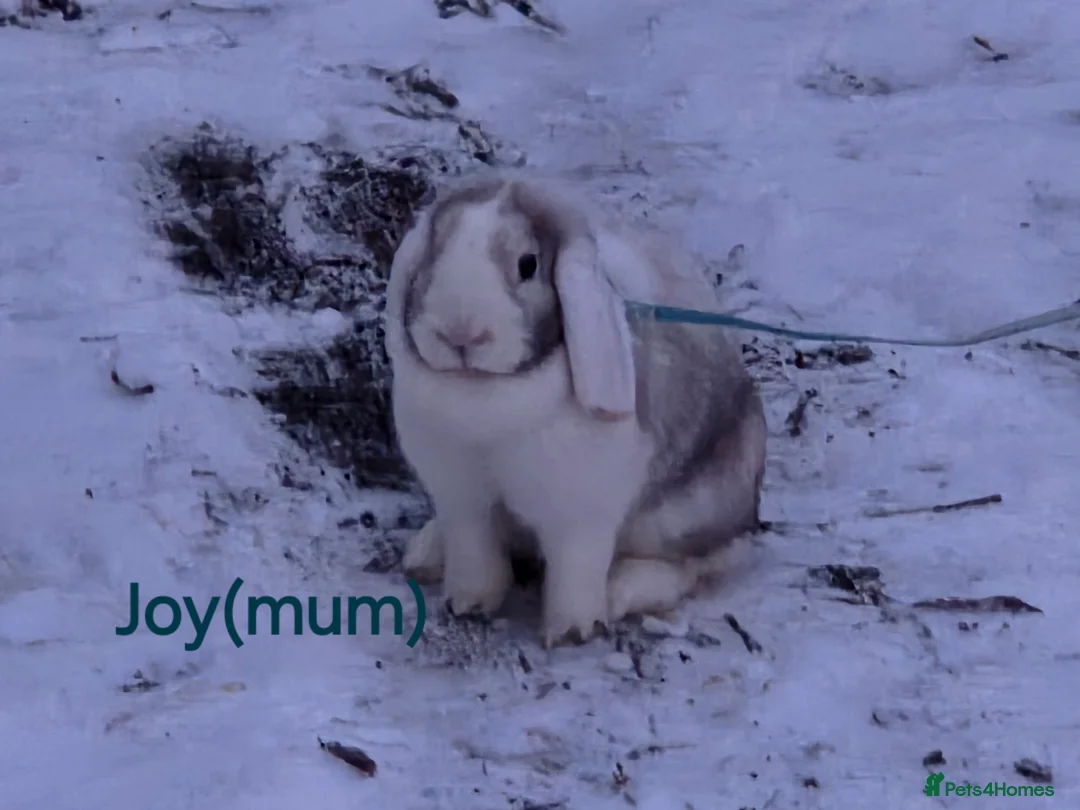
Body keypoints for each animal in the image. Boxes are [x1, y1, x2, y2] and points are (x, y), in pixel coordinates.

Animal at [384, 170, 766, 648]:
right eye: (434, 251)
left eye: (528, 265)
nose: (460, 334)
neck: (483, 391)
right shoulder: (462, 500)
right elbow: (475, 553)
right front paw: (467, 604)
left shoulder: (580, 518)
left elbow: (575, 569)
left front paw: (569, 632)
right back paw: (424, 555)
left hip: (685, 515)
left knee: (692, 565)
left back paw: (620, 591)